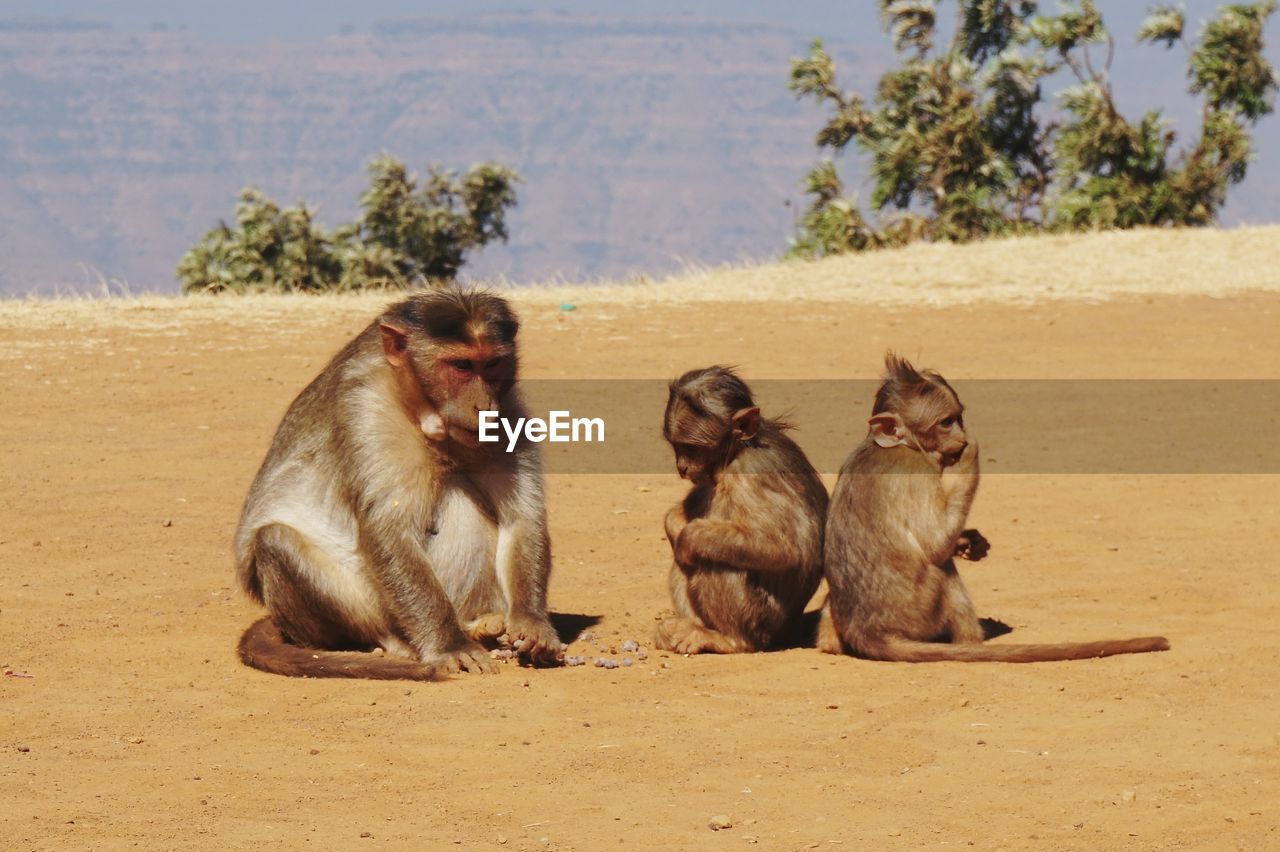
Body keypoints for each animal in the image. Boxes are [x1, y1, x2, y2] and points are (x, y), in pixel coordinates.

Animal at [236, 289, 565, 680]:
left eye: (493, 364)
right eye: (462, 366)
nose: (484, 406)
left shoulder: (510, 411)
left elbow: (522, 518)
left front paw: (532, 622)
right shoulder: (368, 410)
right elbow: (390, 529)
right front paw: (449, 645)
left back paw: (481, 624)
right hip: (374, 606)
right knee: (274, 539)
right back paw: (405, 641)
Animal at [819, 350, 1172, 665]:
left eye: (959, 417)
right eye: (946, 422)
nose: (961, 438)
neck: (897, 445)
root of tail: (868, 631)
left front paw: (970, 541)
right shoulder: (917, 470)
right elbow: (935, 545)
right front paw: (970, 456)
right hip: (921, 611)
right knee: (943, 569)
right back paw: (972, 642)